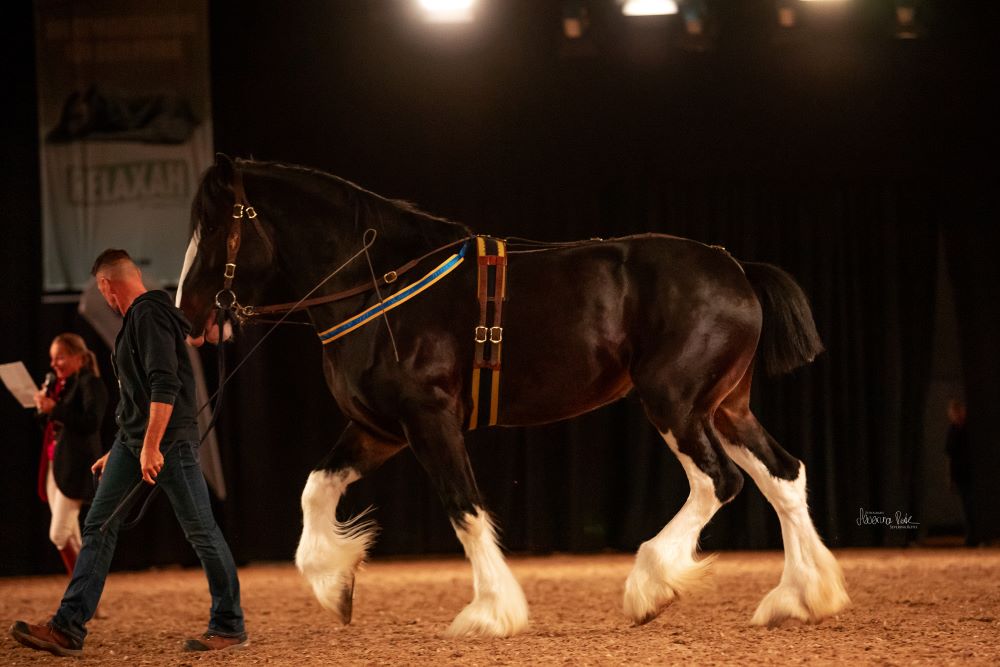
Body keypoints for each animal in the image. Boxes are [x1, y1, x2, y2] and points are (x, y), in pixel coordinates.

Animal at [176, 154, 849, 637]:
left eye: (214, 228)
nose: (186, 314)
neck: (380, 284)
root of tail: (736, 270)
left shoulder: (429, 418)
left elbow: (465, 508)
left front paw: (490, 612)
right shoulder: (379, 428)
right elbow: (316, 489)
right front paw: (333, 585)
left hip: (676, 403)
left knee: (718, 482)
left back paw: (651, 584)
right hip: (726, 407)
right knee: (783, 476)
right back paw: (802, 597)